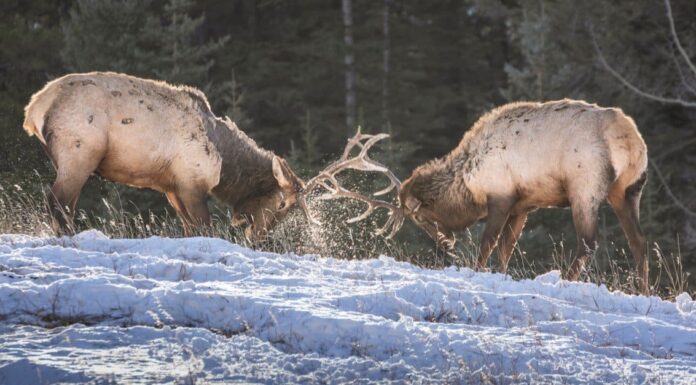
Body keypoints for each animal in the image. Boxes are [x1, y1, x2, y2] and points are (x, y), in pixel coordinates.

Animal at [23, 71, 306, 240]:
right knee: (56, 200)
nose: (260, 237)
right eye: (281, 204)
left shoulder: (172, 188)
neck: (226, 165)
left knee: (66, 205)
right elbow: (205, 228)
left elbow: (189, 229)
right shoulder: (191, 183)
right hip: (79, 153)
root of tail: (34, 108)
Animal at [304, 100, 648, 292]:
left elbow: (488, 243)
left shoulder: (501, 196)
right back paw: (643, 290)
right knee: (638, 242)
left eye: (418, 215)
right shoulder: (524, 205)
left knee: (589, 241)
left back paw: (566, 280)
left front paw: (479, 272)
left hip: (584, 185)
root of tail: (630, 141)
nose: (446, 242)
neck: (469, 183)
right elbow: (507, 249)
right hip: (629, 190)